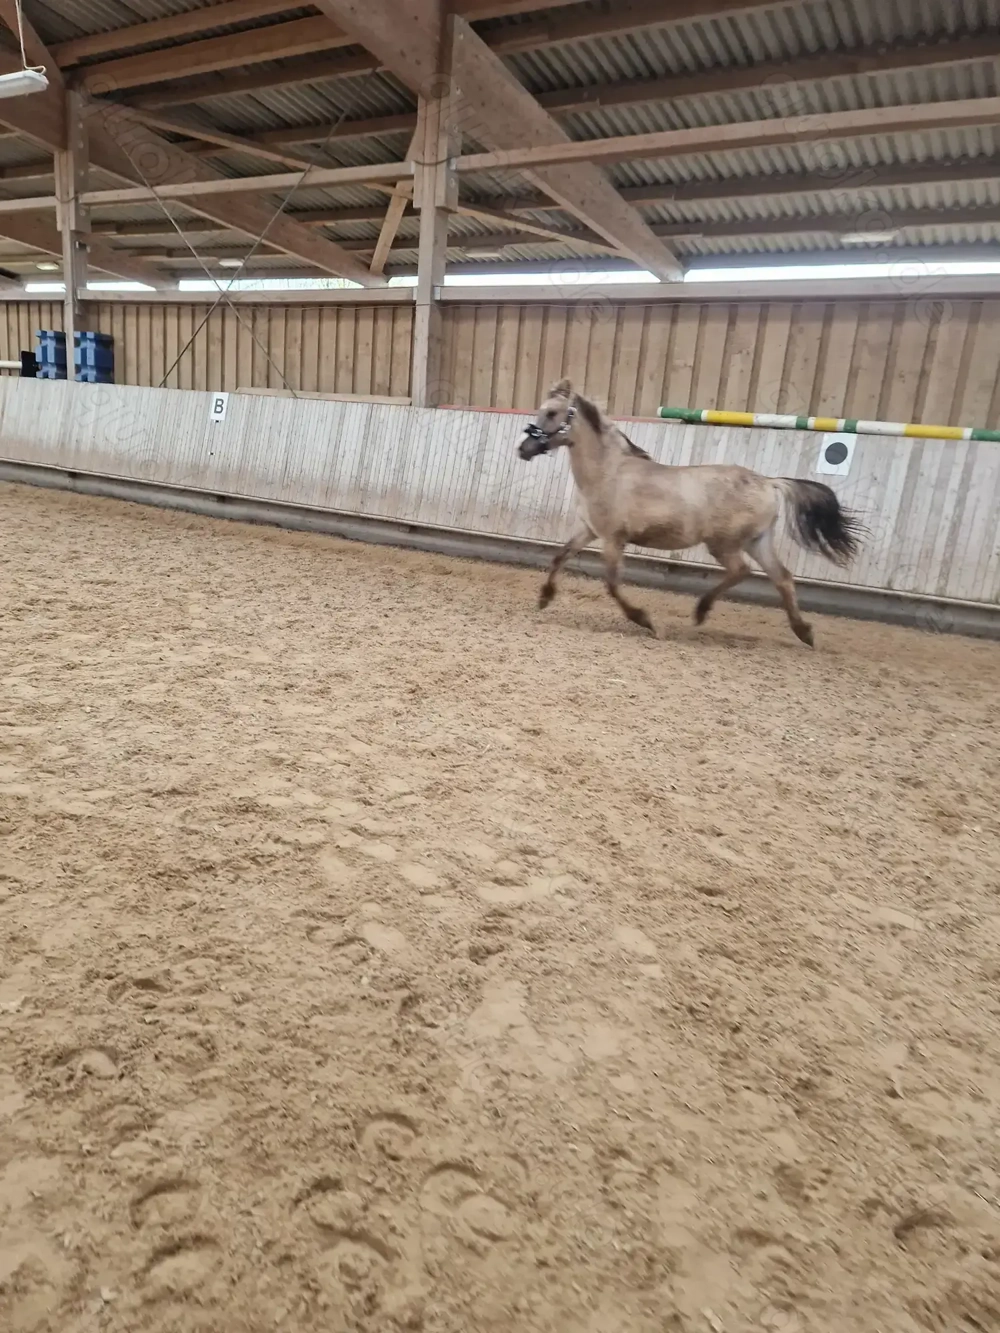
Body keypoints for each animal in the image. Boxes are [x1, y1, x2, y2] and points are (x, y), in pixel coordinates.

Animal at [517, 378, 864, 647]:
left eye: (551, 412)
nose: (523, 449)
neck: (608, 472)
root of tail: (769, 481)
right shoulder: (589, 530)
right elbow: (559, 557)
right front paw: (544, 598)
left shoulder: (614, 539)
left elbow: (613, 584)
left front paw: (647, 621)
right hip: (758, 540)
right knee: (782, 578)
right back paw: (804, 632)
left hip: (724, 543)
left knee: (742, 571)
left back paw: (701, 611)